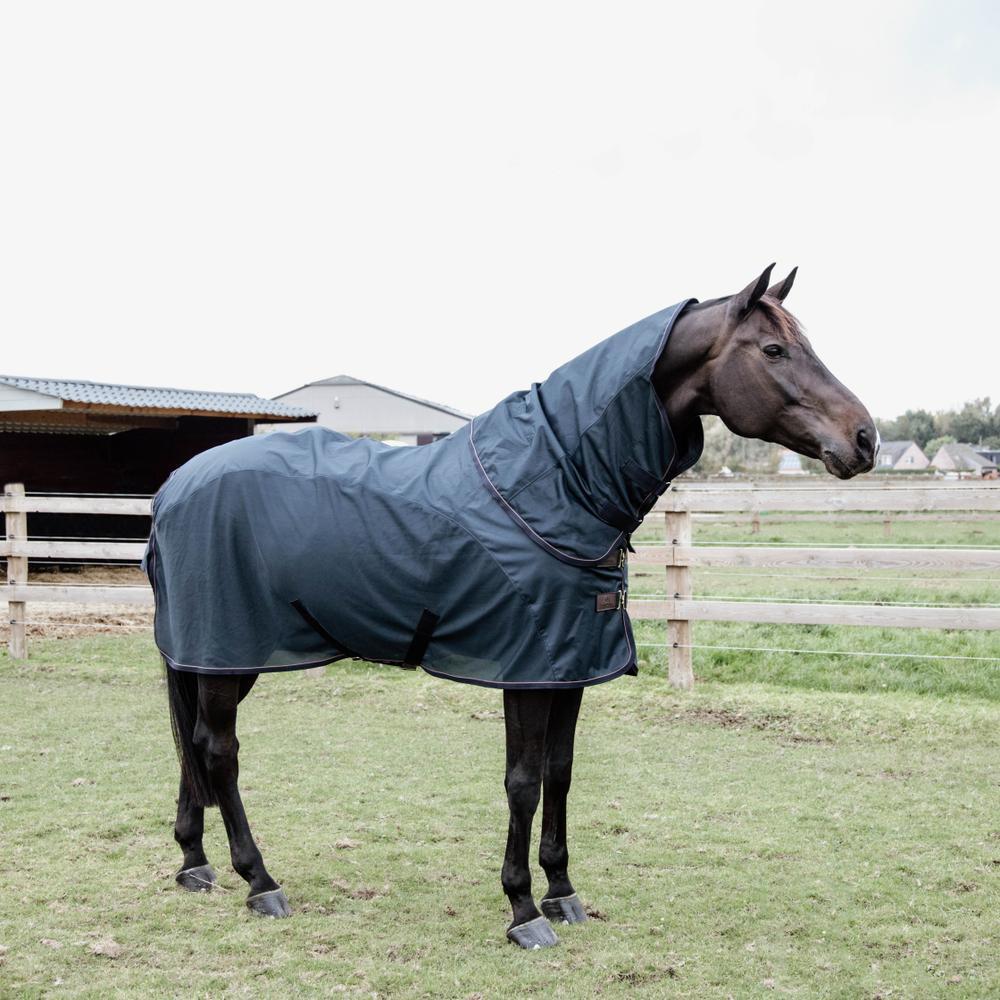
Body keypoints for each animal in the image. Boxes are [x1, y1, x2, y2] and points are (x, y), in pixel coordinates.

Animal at [147, 265, 877, 948]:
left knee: (193, 744)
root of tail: (174, 485)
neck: (553, 485)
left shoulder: (570, 668)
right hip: (227, 650)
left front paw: (563, 893)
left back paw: (195, 864)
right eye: (775, 350)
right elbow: (522, 782)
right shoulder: (525, 671)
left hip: (212, 655)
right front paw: (523, 910)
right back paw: (260, 881)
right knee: (218, 749)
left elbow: (560, 773)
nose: (865, 438)